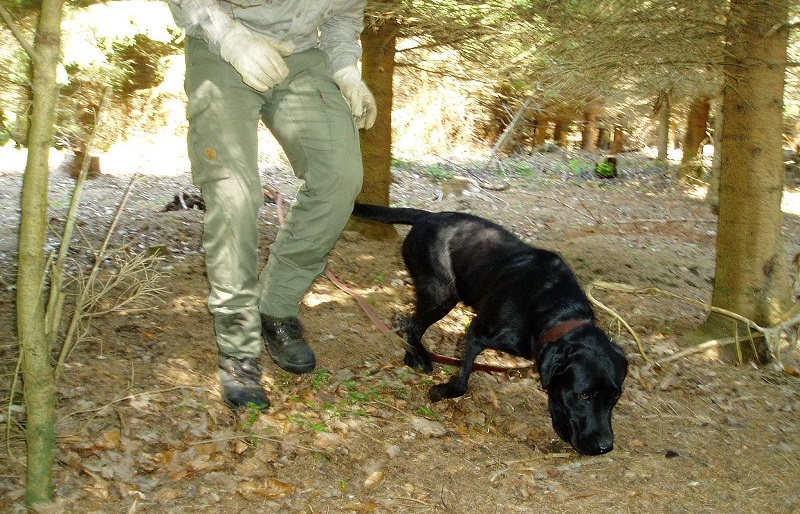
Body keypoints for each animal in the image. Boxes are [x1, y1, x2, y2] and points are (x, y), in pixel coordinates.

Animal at [351, 203, 628, 455]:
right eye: (584, 396)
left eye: (615, 397)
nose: (605, 447)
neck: (558, 312)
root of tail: (428, 216)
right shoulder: (478, 331)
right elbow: (462, 383)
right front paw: (442, 391)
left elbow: (554, 392)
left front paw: (560, 422)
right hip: (441, 293)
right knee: (411, 324)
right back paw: (418, 356)